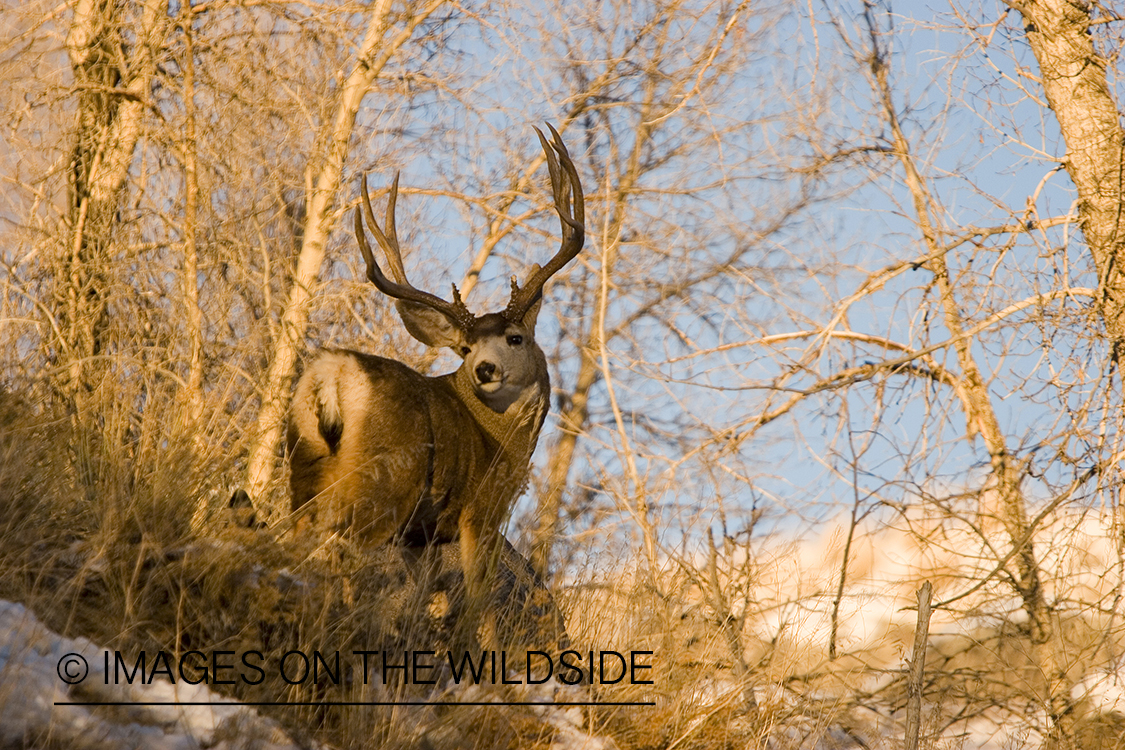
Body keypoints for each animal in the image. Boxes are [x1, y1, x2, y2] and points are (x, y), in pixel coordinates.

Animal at [285, 124, 585, 638]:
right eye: (465, 350)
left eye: (515, 337)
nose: (484, 369)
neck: (501, 440)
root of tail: (334, 374)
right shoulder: (480, 512)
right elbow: (478, 603)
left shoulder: (421, 536)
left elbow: (427, 598)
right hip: (381, 486)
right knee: (334, 552)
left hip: (303, 470)